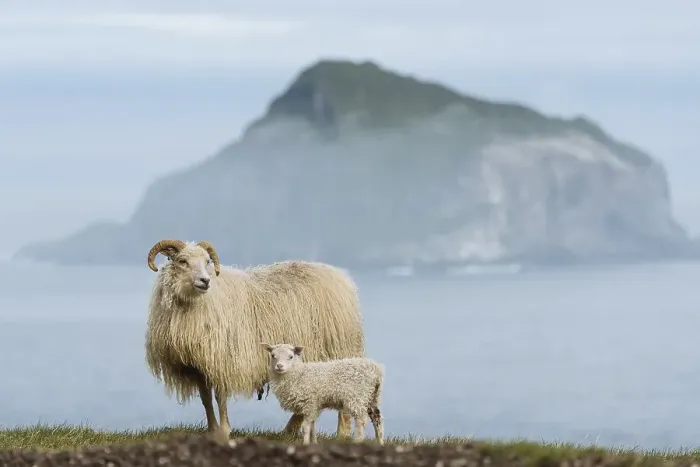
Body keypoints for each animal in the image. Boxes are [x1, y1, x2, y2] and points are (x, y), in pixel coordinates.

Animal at [144, 239, 365, 439]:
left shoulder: (223, 360)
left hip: (339, 351)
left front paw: (224, 431)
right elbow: (206, 399)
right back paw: (289, 430)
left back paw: (341, 434)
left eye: (207, 261)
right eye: (182, 261)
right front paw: (212, 430)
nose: (205, 281)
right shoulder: (198, 365)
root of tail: (340, 276)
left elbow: (220, 397)